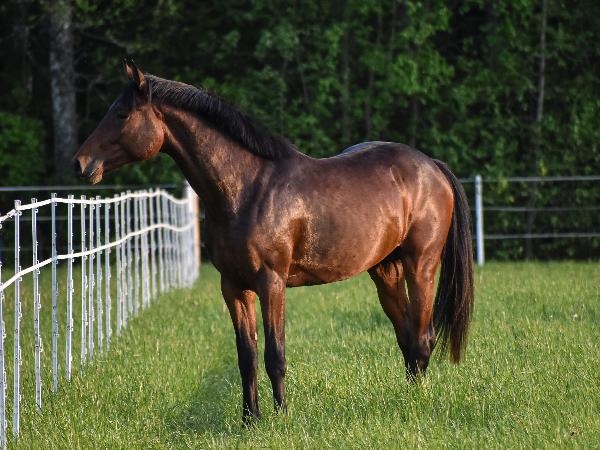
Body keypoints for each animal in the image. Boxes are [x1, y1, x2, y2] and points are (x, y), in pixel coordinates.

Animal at [74, 59, 474, 424]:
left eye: (122, 114)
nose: (81, 163)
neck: (246, 189)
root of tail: (431, 166)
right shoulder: (233, 286)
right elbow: (246, 356)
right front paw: (250, 419)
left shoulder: (272, 283)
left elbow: (274, 354)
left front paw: (280, 418)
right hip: (385, 271)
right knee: (406, 337)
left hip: (420, 265)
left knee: (422, 337)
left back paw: (417, 404)